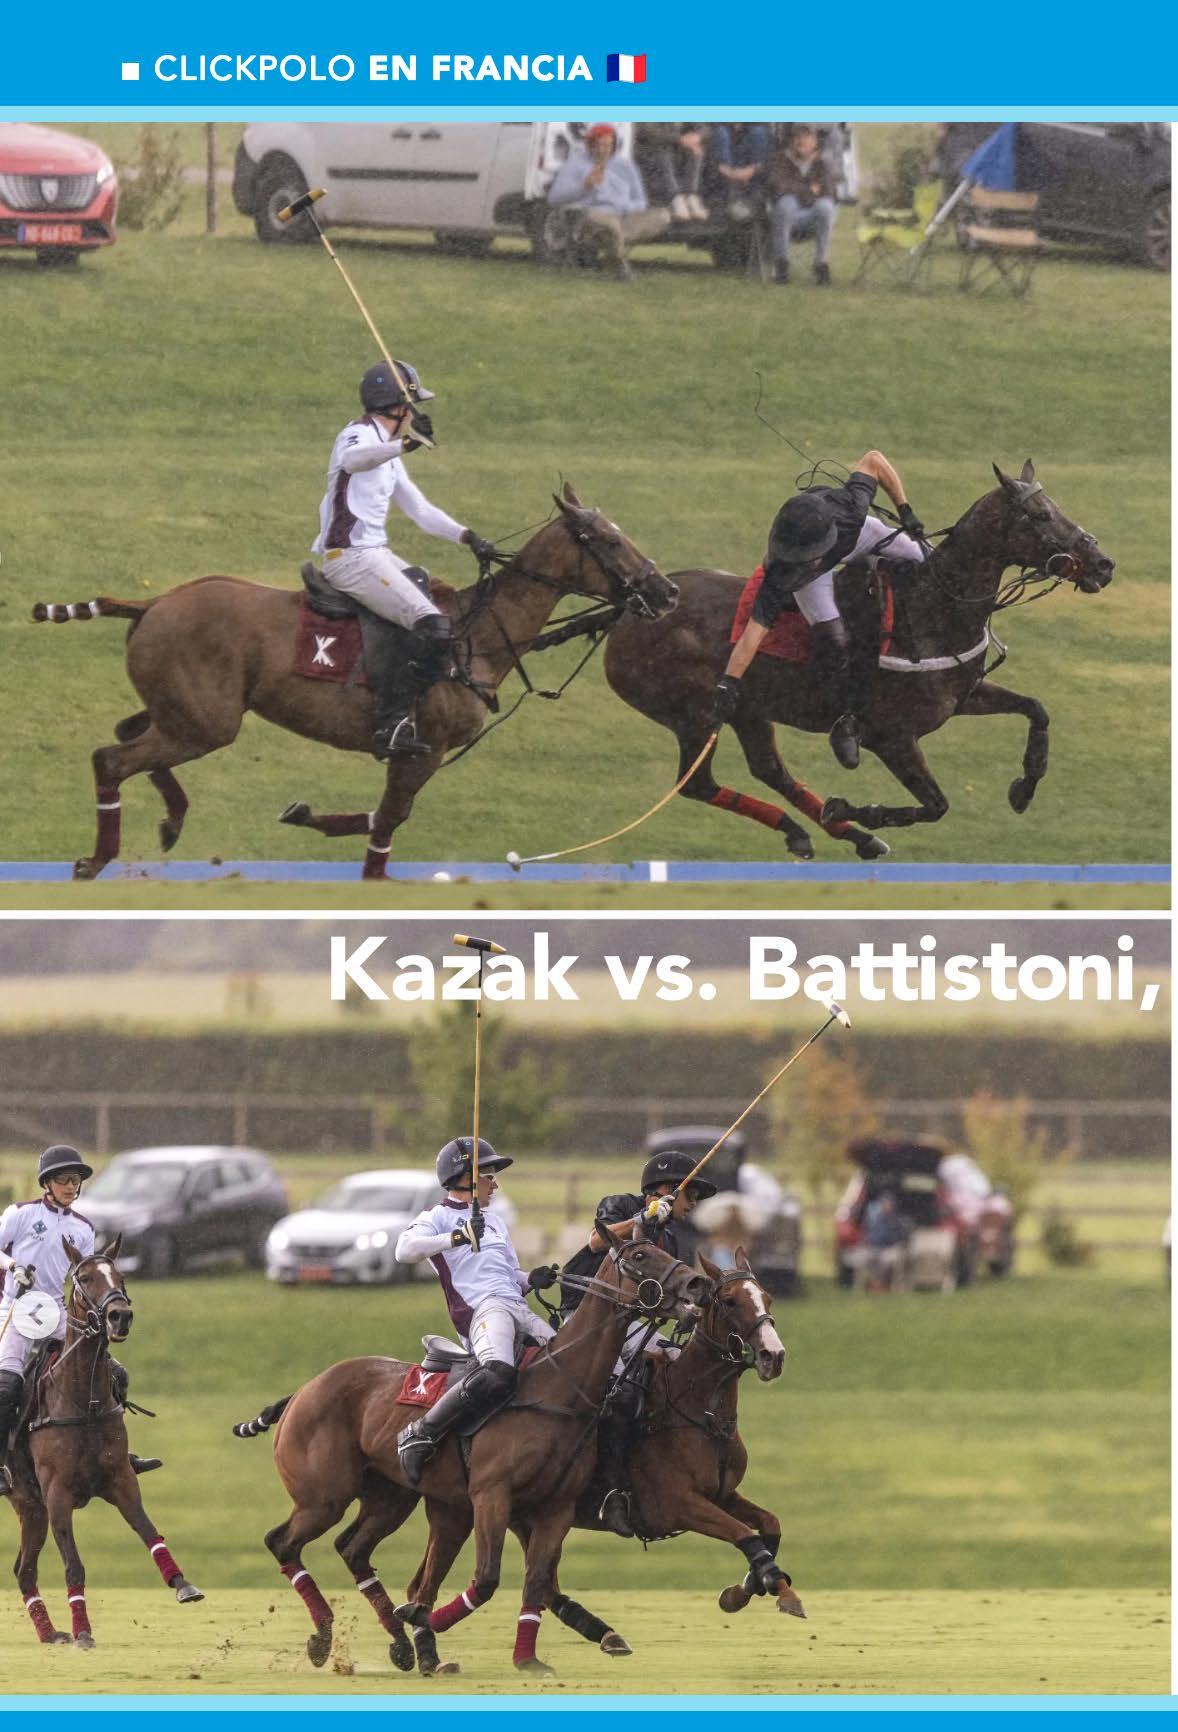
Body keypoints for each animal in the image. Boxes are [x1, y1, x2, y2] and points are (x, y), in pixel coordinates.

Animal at [7, 1239, 203, 1647]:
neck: (85, 1402)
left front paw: (183, 1585)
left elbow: (149, 1530)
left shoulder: (119, 1479)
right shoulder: (58, 1494)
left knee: (23, 1569)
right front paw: (83, 1630)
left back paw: (50, 1633)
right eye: (83, 1278)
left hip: (30, 1506)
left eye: (121, 1276)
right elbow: (73, 1564)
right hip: (34, 1503)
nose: (119, 1317)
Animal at [32, 487, 679, 882]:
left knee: (128, 734)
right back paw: (98, 859)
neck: (477, 635)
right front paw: (372, 874)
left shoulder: (417, 754)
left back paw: (170, 818)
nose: (666, 592)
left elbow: (383, 815)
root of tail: (153, 602)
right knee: (111, 758)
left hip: (184, 712)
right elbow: (391, 819)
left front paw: (304, 814)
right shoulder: (422, 746)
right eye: (610, 541)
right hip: (207, 723)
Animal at [232, 1229, 708, 1675]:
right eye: (641, 1255)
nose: (698, 1284)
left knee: (353, 1549)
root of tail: (303, 1391)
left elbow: (535, 1581)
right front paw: (425, 1619)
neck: (560, 1389)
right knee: (283, 1543)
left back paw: (401, 1645)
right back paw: (325, 1637)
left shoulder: (555, 1509)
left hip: (391, 1497)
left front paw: (526, 1659)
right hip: (324, 1497)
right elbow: (488, 1578)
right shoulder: (491, 1496)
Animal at [393, 1250, 802, 1672]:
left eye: (767, 1298)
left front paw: (748, 1588)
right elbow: (743, 1533)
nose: (773, 1356)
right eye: (731, 1301)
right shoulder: (676, 1504)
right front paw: (772, 1592)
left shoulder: (722, 1493)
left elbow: (769, 1526)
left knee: (532, 1581)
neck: (696, 1410)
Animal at [602, 462, 1114, 860]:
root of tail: (629, 614)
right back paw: (833, 827)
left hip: (750, 711)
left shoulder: (963, 697)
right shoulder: (891, 737)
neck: (933, 606)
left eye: (1055, 507)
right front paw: (853, 809)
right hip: (694, 716)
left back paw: (836, 835)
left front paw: (1024, 787)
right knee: (698, 784)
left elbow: (1036, 709)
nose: (1103, 565)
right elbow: (936, 805)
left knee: (768, 769)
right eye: (1039, 515)